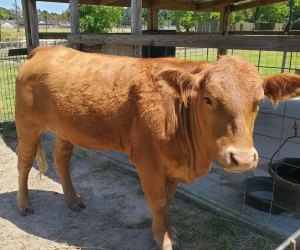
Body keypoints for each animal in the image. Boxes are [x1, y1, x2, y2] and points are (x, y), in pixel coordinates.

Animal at [15, 46, 300, 249]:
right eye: (208, 99)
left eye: (259, 102)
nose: (242, 159)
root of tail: (46, 49)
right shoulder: (148, 162)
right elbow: (159, 202)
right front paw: (162, 240)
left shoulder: (171, 166)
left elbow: (170, 200)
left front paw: (171, 233)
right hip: (27, 125)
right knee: (25, 162)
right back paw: (24, 205)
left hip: (66, 128)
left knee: (61, 159)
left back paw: (73, 200)